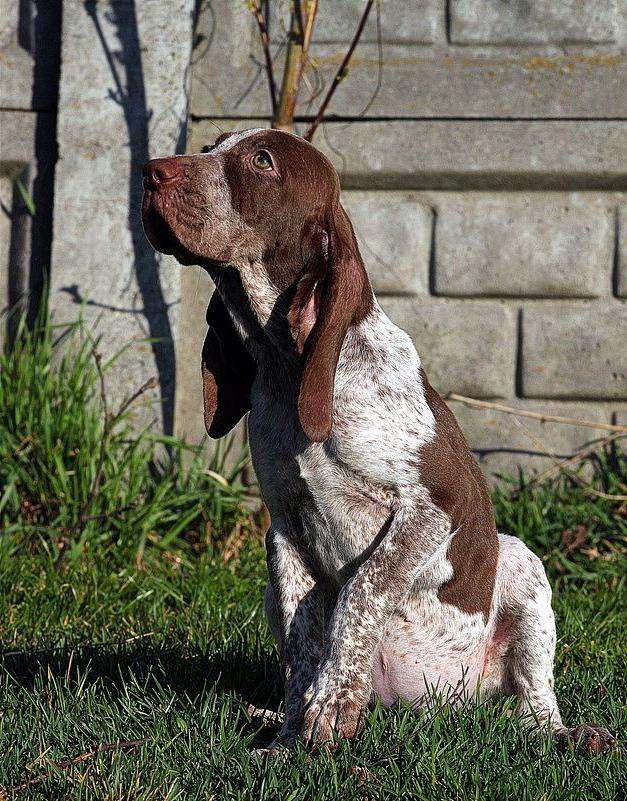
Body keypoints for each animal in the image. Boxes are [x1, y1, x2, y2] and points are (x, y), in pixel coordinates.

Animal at [142, 128, 620, 752]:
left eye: (261, 162)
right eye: (209, 147)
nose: (150, 171)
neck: (288, 368)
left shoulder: (433, 509)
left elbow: (359, 591)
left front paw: (331, 705)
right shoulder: (284, 531)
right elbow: (304, 645)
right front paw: (291, 738)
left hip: (521, 564)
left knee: (533, 706)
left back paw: (566, 735)